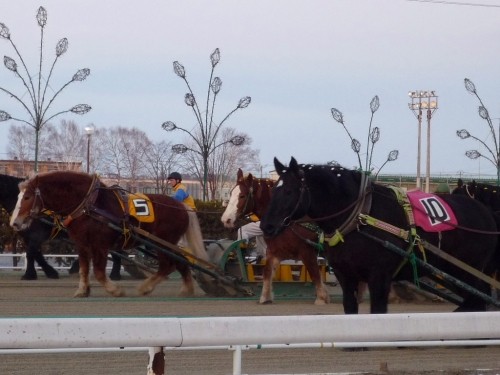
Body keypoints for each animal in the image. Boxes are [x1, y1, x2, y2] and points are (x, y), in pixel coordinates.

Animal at [10, 171, 209, 300]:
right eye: (18, 196)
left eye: (27, 197)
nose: (15, 222)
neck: (91, 205)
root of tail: (182, 206)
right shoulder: (82, 244)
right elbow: (84, 269)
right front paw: (83, 290)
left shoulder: (100, 245)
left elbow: (98, 272)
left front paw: (115, 290)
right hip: (166, 243)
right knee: (180, 261)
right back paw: (186, 289)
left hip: (163, 242)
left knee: (168, 265)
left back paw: (146, 287)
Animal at [221, 170, 330, 306]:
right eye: (231, 193)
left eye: (242, 196)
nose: (226, 219)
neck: (288, 221)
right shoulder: (274, 251)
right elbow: (267, 272)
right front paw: (265, 297)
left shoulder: (307, 252)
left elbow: (315, 274)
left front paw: (321, 297)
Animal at [262, 158, 500, 314]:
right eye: (273, 190)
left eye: (289, 191)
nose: (266, 225)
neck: (360, 216)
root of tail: (486, 214)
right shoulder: (345, 273)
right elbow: (350, 306)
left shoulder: (379, 274)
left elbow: (377, 309)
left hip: (468, 269)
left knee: (478, 298)